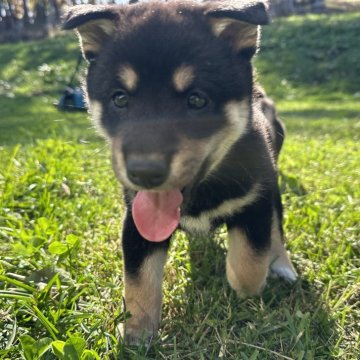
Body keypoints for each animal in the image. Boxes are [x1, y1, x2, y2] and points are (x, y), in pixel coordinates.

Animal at [62, 0, 298, 344]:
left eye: (197, 99)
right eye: (120, 98)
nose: (144, 173)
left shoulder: (255, 202)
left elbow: (248, 265)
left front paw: (241, 278)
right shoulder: (136, 219)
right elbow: (139, 280)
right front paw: (137, 335)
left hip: (273, 187)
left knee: (276, 228)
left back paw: (281, 265)